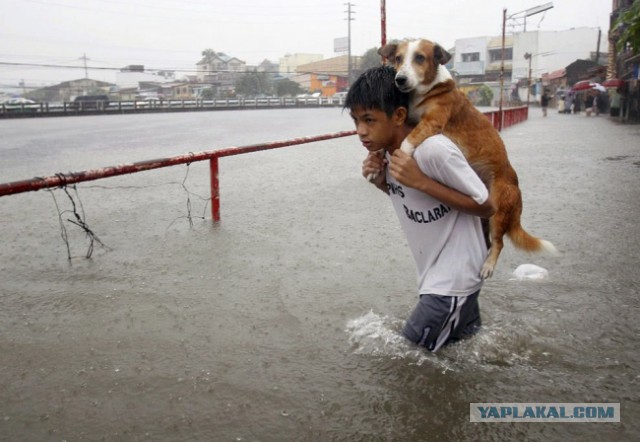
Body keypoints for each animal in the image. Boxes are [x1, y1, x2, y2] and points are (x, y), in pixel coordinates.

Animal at [380, 38, 556, 280]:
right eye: (398, 58)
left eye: (420, 58)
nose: (400, 79)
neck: (426, 91)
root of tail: (517, 191)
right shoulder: (413, 119)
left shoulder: (432, 122)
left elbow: (407, 141)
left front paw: (401, 156)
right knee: (490, 240)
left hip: (497, 212)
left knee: (499, 243)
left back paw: (488, 265)